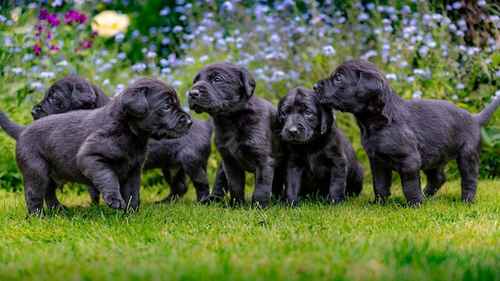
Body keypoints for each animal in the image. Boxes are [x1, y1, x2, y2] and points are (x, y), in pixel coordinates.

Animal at [0, 77, 192, 213]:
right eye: (166, 106)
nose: (189, 121)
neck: (129, 132)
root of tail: (23, 130)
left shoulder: (133, 170)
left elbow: (132, 192)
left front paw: (131, 213)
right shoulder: (90, 157)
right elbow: (108, 178)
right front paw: (114, 200)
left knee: (49, 192)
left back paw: (58, 210)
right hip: (36, 170)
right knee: (34, 194)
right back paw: (38, 216)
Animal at [29, 74, 213, 202]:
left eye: (54, 98)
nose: (33, 111)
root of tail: (206, 125)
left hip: (190, 160)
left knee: (200, 181)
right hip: (171, 166)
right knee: (179, 187)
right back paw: (166, 202)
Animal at [188, 62, 284, 206]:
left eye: (217, 79)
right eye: (195, 81)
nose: (192, 93)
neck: (231, 120)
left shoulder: (264, 160)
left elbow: (261, 187)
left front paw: (259, 206)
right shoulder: (229, 160)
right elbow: (235, 185)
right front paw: (237, 205)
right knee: (220, 181)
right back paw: (213, 199)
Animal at [316, 59, 500, 205]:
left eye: (338, 78)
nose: (315, 86)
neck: (378, 123)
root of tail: (475, 118)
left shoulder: (409, 159)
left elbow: (410, 185)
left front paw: (415, 204)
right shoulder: (377, 161)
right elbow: (380, 184)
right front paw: (378, 203)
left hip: (467, 154)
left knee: (469, 179)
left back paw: (466, 200)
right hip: (434, 156)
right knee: (438, 178)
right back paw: (427, 196)